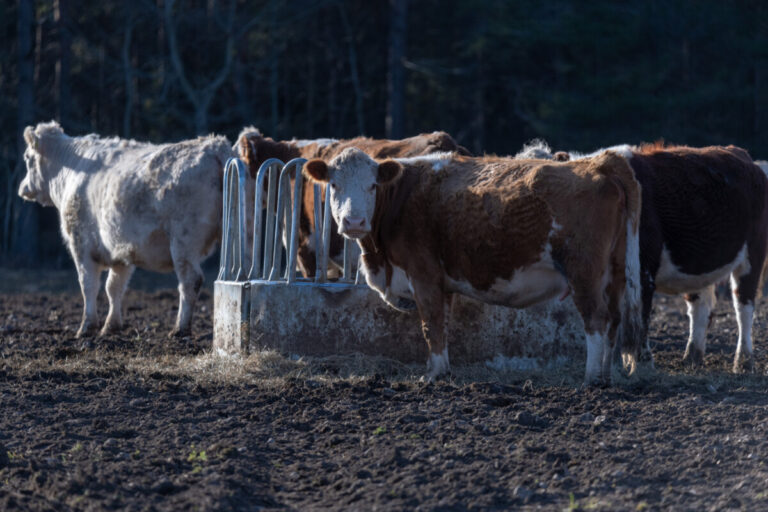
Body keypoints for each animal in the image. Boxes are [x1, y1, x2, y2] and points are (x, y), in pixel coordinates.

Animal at [19, 119, 232, 336]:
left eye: (27, 158)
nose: (23, 188)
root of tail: (215, 146)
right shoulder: (121, 251)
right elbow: (114, 288)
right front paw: (110, 326)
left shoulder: (81, 244)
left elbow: (88, 285)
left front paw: (87, 326)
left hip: (183, 243)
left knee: (190, 280)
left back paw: (180, 328)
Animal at [304, 147, 644, 384]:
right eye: (333, 185)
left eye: (372, 185)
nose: (354, 222)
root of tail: (600, 162)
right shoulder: (443, 284)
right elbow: (442, 325)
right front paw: (440, 369)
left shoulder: (423, 274)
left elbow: (430, 325)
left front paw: (434, 376)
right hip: (614, 273)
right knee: (614, 320)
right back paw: (607, 375)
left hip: (584, 272)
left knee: (596, 320)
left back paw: (591, 378)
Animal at [528, 142, 768, 370]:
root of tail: (745, 157)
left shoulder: (642, 269)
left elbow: (640, 315)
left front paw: (642, 362)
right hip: (699, 261)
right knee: (700, 307)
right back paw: (692, 356)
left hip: (752, 255)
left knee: (743, 306)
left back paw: (743, 361)